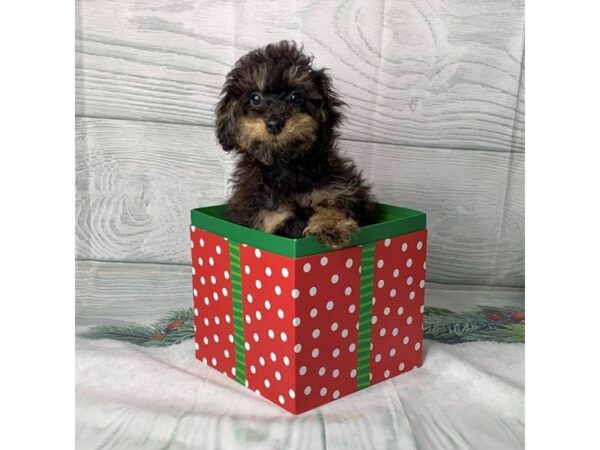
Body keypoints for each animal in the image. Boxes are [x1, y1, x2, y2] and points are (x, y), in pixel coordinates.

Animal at [216, 40, 372, 248]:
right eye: (255, 98)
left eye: (295, 97)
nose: (274, 124)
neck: (286, 164)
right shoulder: (265, 213)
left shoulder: (333, 190)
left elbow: (332, 205)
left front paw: (332, 226)